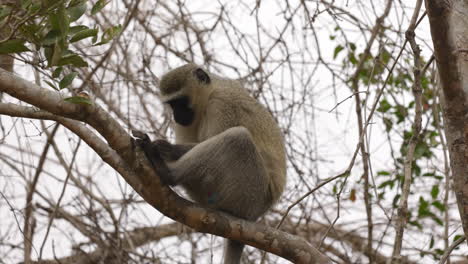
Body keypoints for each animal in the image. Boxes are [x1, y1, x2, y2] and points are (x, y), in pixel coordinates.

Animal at [133, 63, 288, 262]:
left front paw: (163, 146)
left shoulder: (221, 103)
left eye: (181, 102)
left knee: (238, 138)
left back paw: (166, 170)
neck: (209, 94)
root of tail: (256, 215)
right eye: (172, 104)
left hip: (251, 194)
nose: (176, 115)